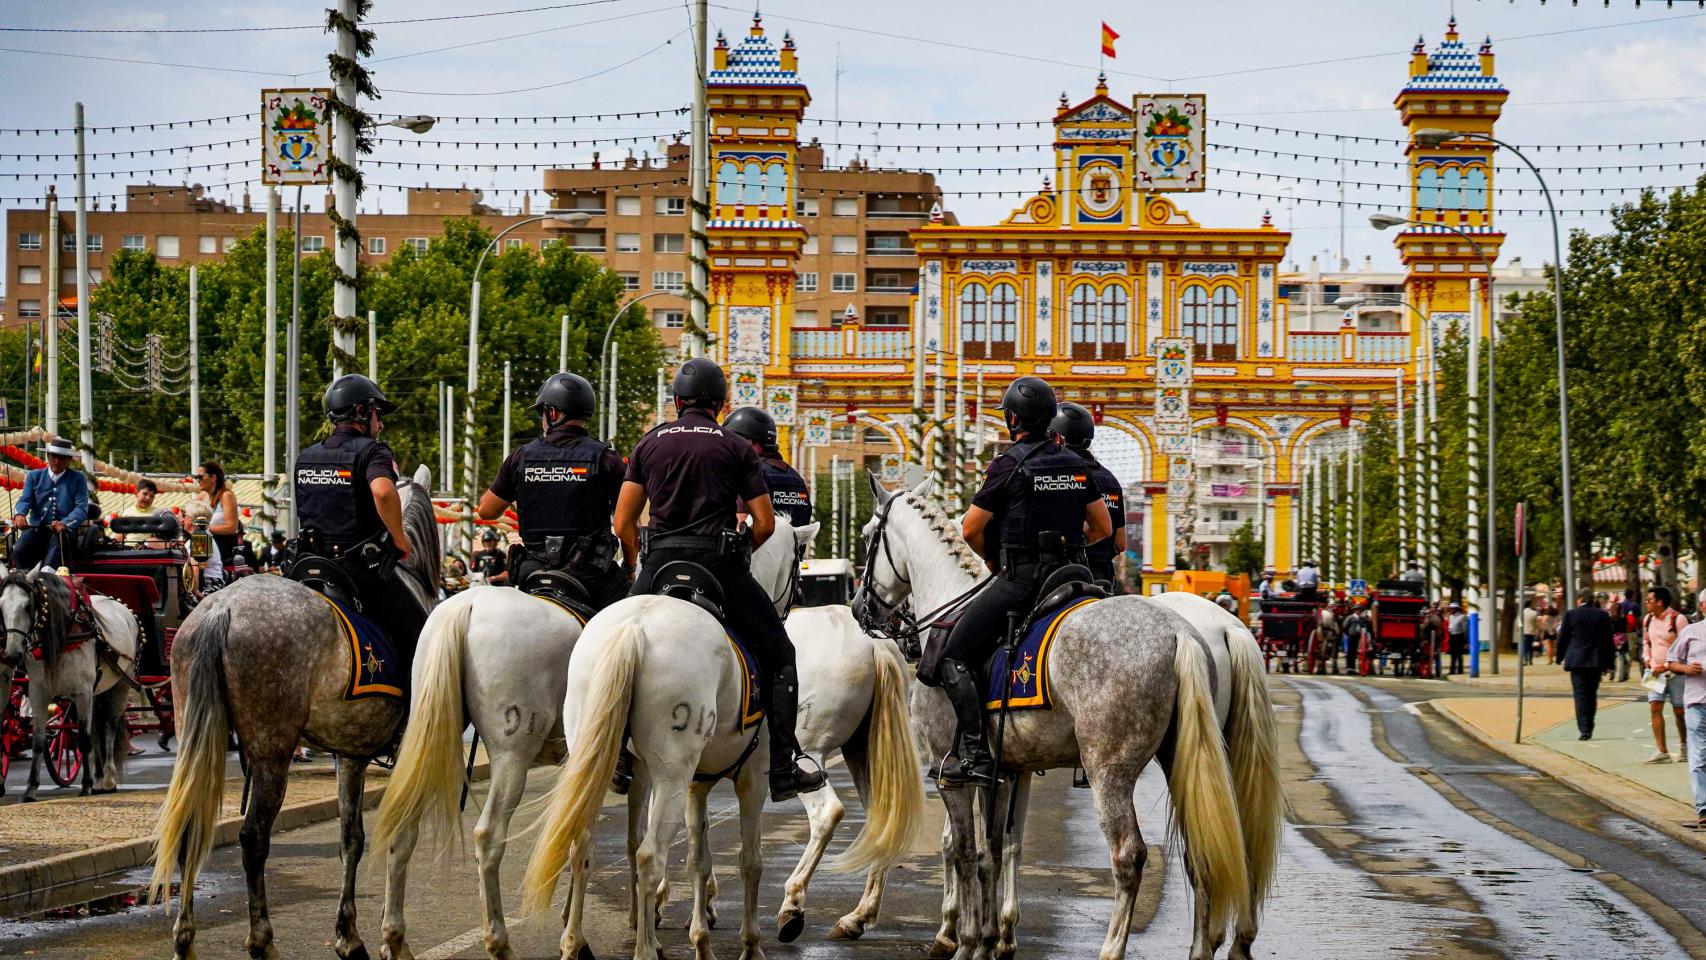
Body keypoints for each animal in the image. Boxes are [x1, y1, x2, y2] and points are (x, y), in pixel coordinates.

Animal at [1, 566, 139, 801]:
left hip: (120, 685)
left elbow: (83, 739)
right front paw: (31, 788)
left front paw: (85, 784)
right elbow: (39, 741)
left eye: (28, 606)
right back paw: (99, 778)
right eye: (1, 606)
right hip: (96, 693)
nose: (12, 654)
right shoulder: (39, 693)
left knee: (109, 727)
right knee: (96, 730)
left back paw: (107, 779)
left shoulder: (82, 693)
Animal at [370, 586, 590, 960]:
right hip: (512, 757)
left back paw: (395, 940)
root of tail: (467, 603)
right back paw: (499, 942)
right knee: (489, 836)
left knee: (402, 830)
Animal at [859, 487, 1248, 960]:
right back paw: (1202, 948)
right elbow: (996, 851)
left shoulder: (948, 772)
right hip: (1182, 761)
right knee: (1203, 849)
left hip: (1107, 771)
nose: (860, 609)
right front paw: (991, 938)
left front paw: (964, 940)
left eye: (866, 537)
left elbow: (963, 851)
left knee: (1128, 855)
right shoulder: (1006, 771)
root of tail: (1180, 632)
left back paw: (1111, 948)